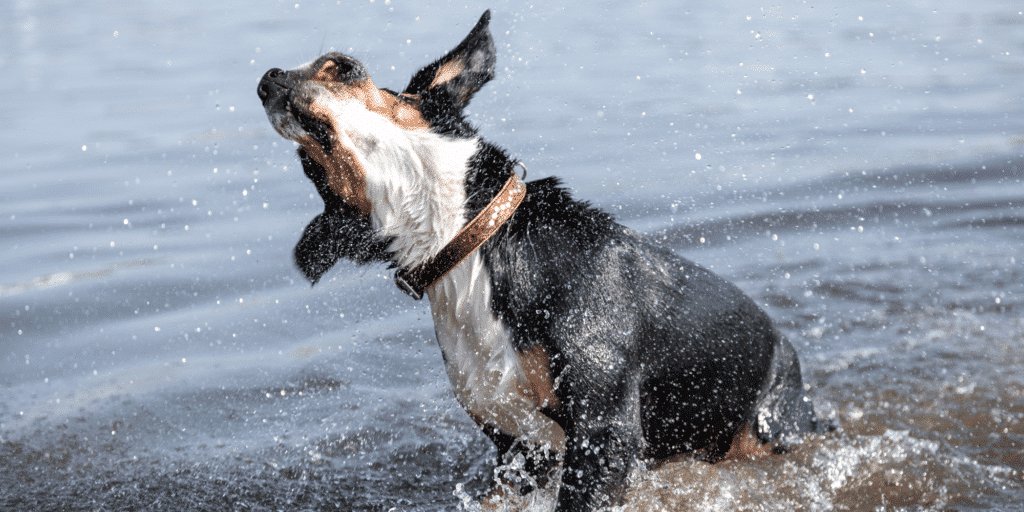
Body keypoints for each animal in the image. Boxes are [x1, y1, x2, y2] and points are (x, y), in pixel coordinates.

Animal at [260, 9, 827, 509]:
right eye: (308, 166)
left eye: (338, 66)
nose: (267, 79)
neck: (468, 249)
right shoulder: (519, 445)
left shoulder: (604, 432)